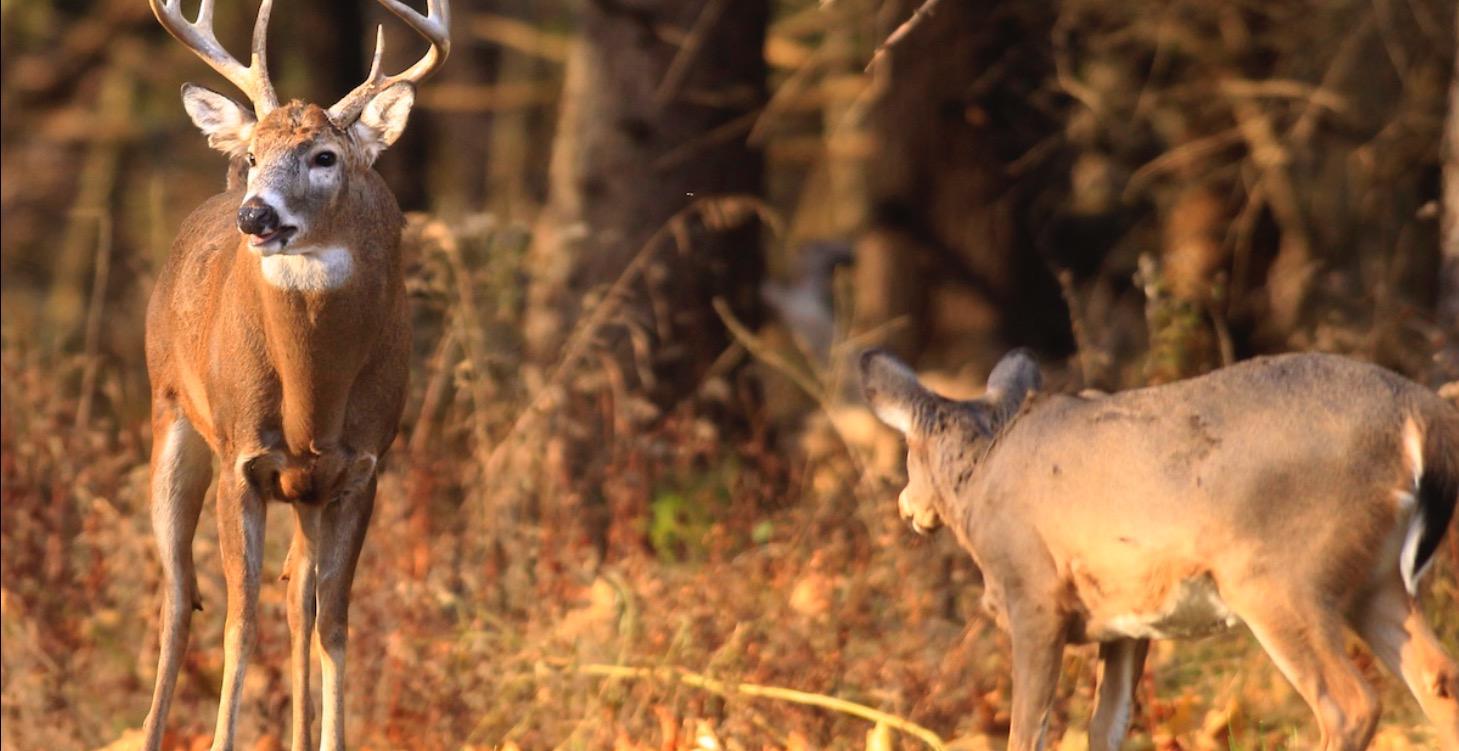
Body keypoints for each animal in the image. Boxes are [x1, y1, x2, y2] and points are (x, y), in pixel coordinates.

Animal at [141, 0, 448, 748]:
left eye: (324, 156)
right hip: (170, 412)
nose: (256, 214)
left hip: (306, 492)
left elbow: (333, 620)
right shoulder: (240, 457)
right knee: (178, 593)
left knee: (294, 593)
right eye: (254, 156)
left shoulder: (361, 467)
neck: (314, 401)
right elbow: (237, 618)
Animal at [860, 349, 1459, 751]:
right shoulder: (1127, 621)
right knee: (1439, 681)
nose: (906, 505)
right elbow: (1106, 727)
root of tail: (1422, 416)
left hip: (1276, 576)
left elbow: (1028, 730)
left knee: (1350, 703)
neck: (981, 475)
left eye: (908, 450)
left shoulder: (1032, 594)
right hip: (1375, 579)